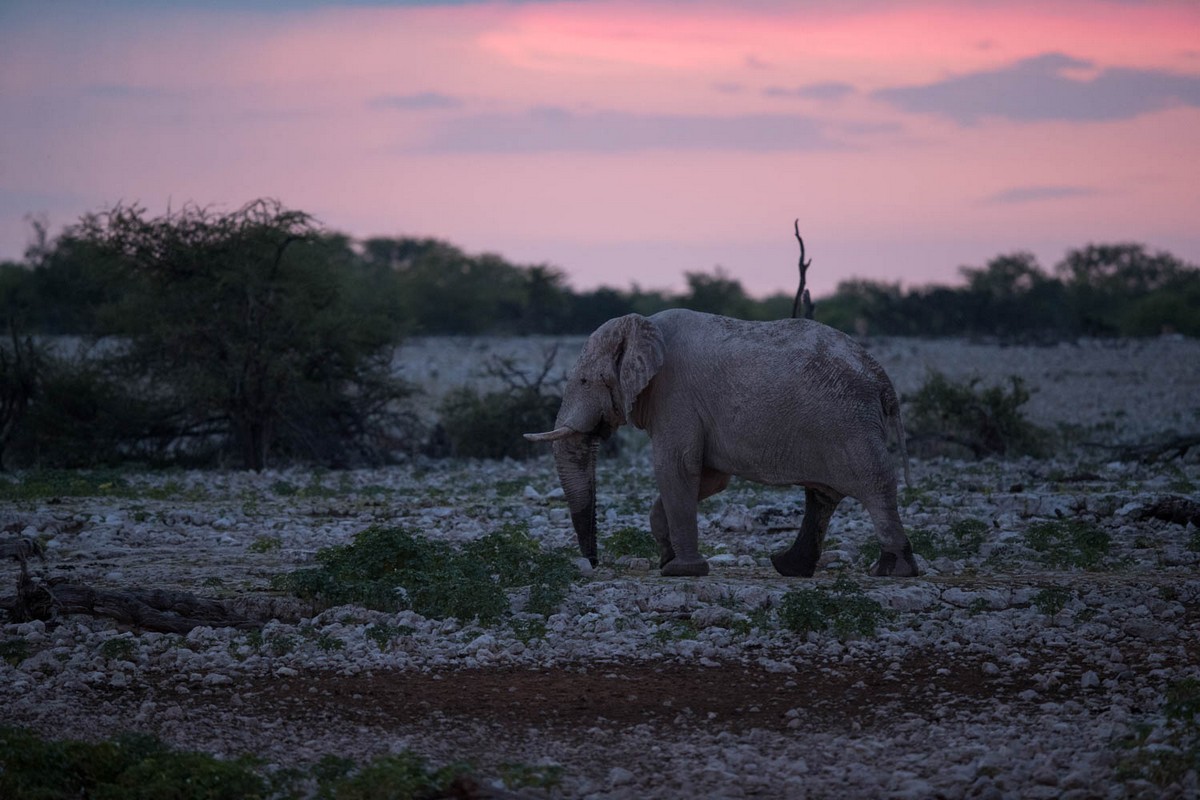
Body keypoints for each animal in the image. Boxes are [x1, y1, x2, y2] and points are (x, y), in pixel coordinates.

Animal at [525, 309, 916, 578]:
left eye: (583, 381)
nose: (591, 562)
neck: (642, 326)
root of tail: (883, 380)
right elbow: (709, 478)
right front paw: (667, 558)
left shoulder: (675, 394)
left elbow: (677, 467)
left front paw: (680, 571)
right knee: (823, 494)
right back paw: (789, 567)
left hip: (850, 422)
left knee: (873, 484)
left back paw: (891, 571)